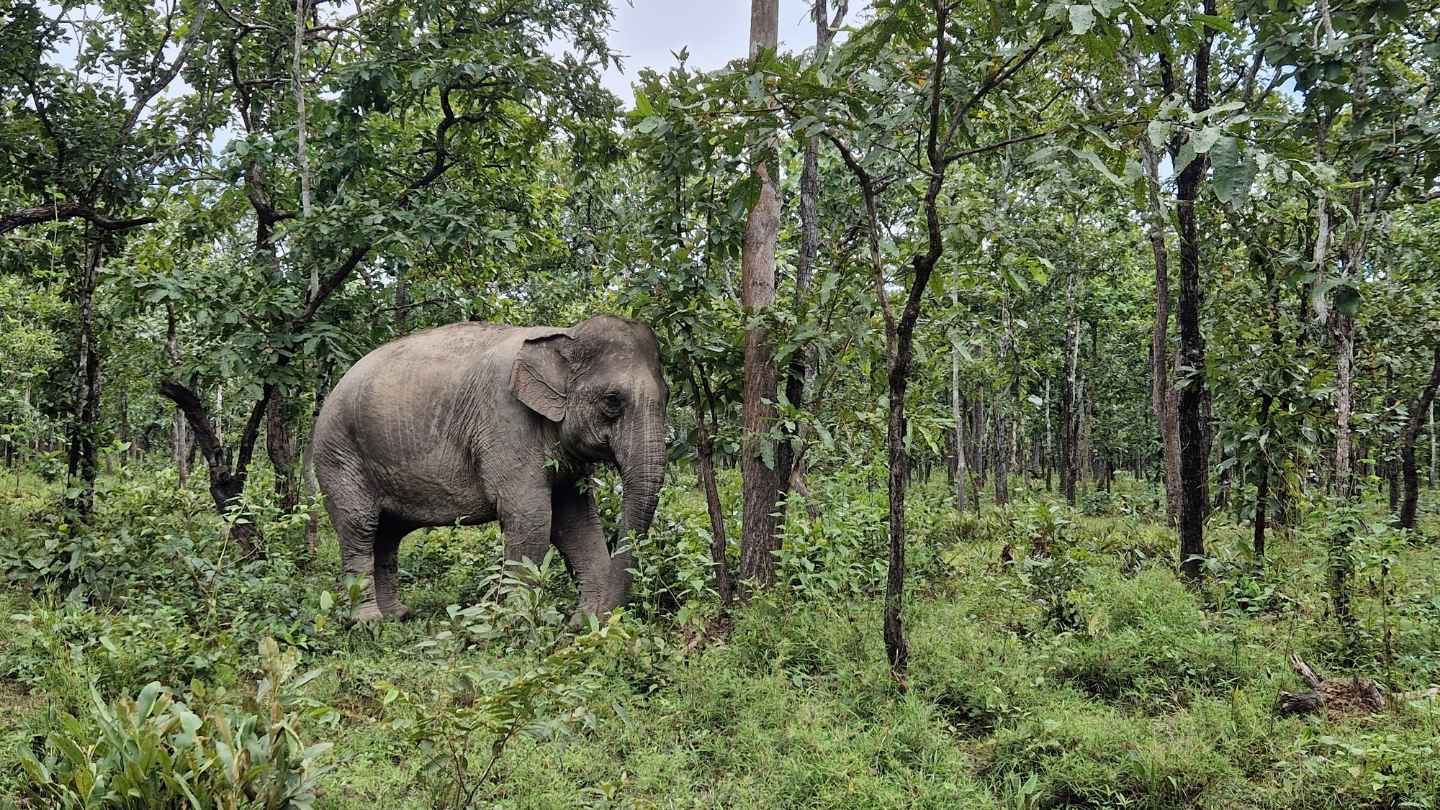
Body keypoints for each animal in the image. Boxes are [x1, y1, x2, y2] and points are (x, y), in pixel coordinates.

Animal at [311, 314, 669, 621]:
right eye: (612, 401)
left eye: (667, 396)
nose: (607, 613)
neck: (564, 335)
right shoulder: (506, 421)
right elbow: (531, 517)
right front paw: (518, 622)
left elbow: (576, 521)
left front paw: (586, 624)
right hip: (338, 454)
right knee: (360, 526)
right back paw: (369, 622)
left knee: (387, 535)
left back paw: (397, 616)